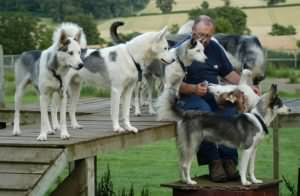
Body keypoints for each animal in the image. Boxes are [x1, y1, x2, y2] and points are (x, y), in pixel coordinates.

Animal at [158, 84, 290, 185]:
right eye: (281, 103)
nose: (289, 110)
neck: (258, 118)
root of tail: (186, 114)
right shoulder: (246, 150)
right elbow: (243, 168)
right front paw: (245, 182)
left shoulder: (253, 150)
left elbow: (251, 168)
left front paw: (254, 180)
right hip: (193, 146)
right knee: (185, 165)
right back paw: (190, 182)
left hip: (184, 146)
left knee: (180, 163)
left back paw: (184, 181)